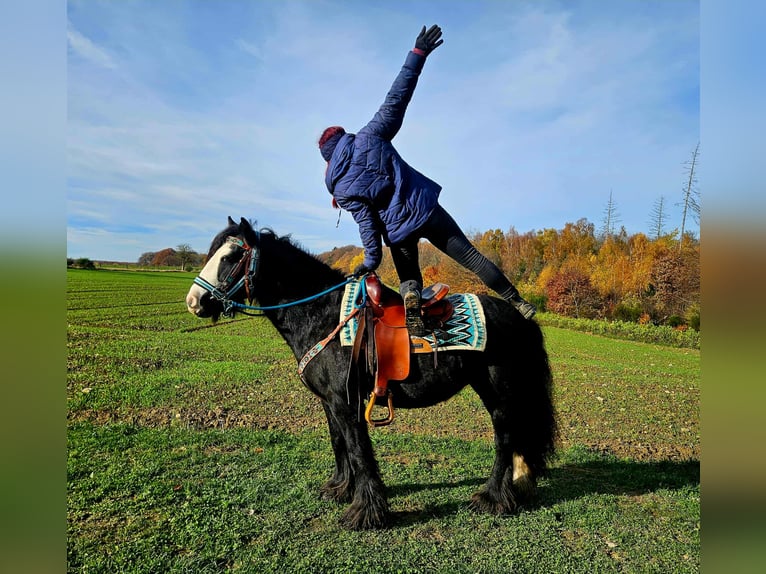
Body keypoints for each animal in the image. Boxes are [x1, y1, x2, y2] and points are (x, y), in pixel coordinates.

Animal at [186, 217, 556, 530]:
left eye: (231, 255)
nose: (194, 301)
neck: (323, 315)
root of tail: (520, 316)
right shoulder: (330, 402)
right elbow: (339, 444)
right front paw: (339, 489)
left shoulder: (346, 402)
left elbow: (359, 450)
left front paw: (365, 512)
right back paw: (517, 486)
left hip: (498, 391)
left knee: (504, 438)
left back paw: (492, 498)